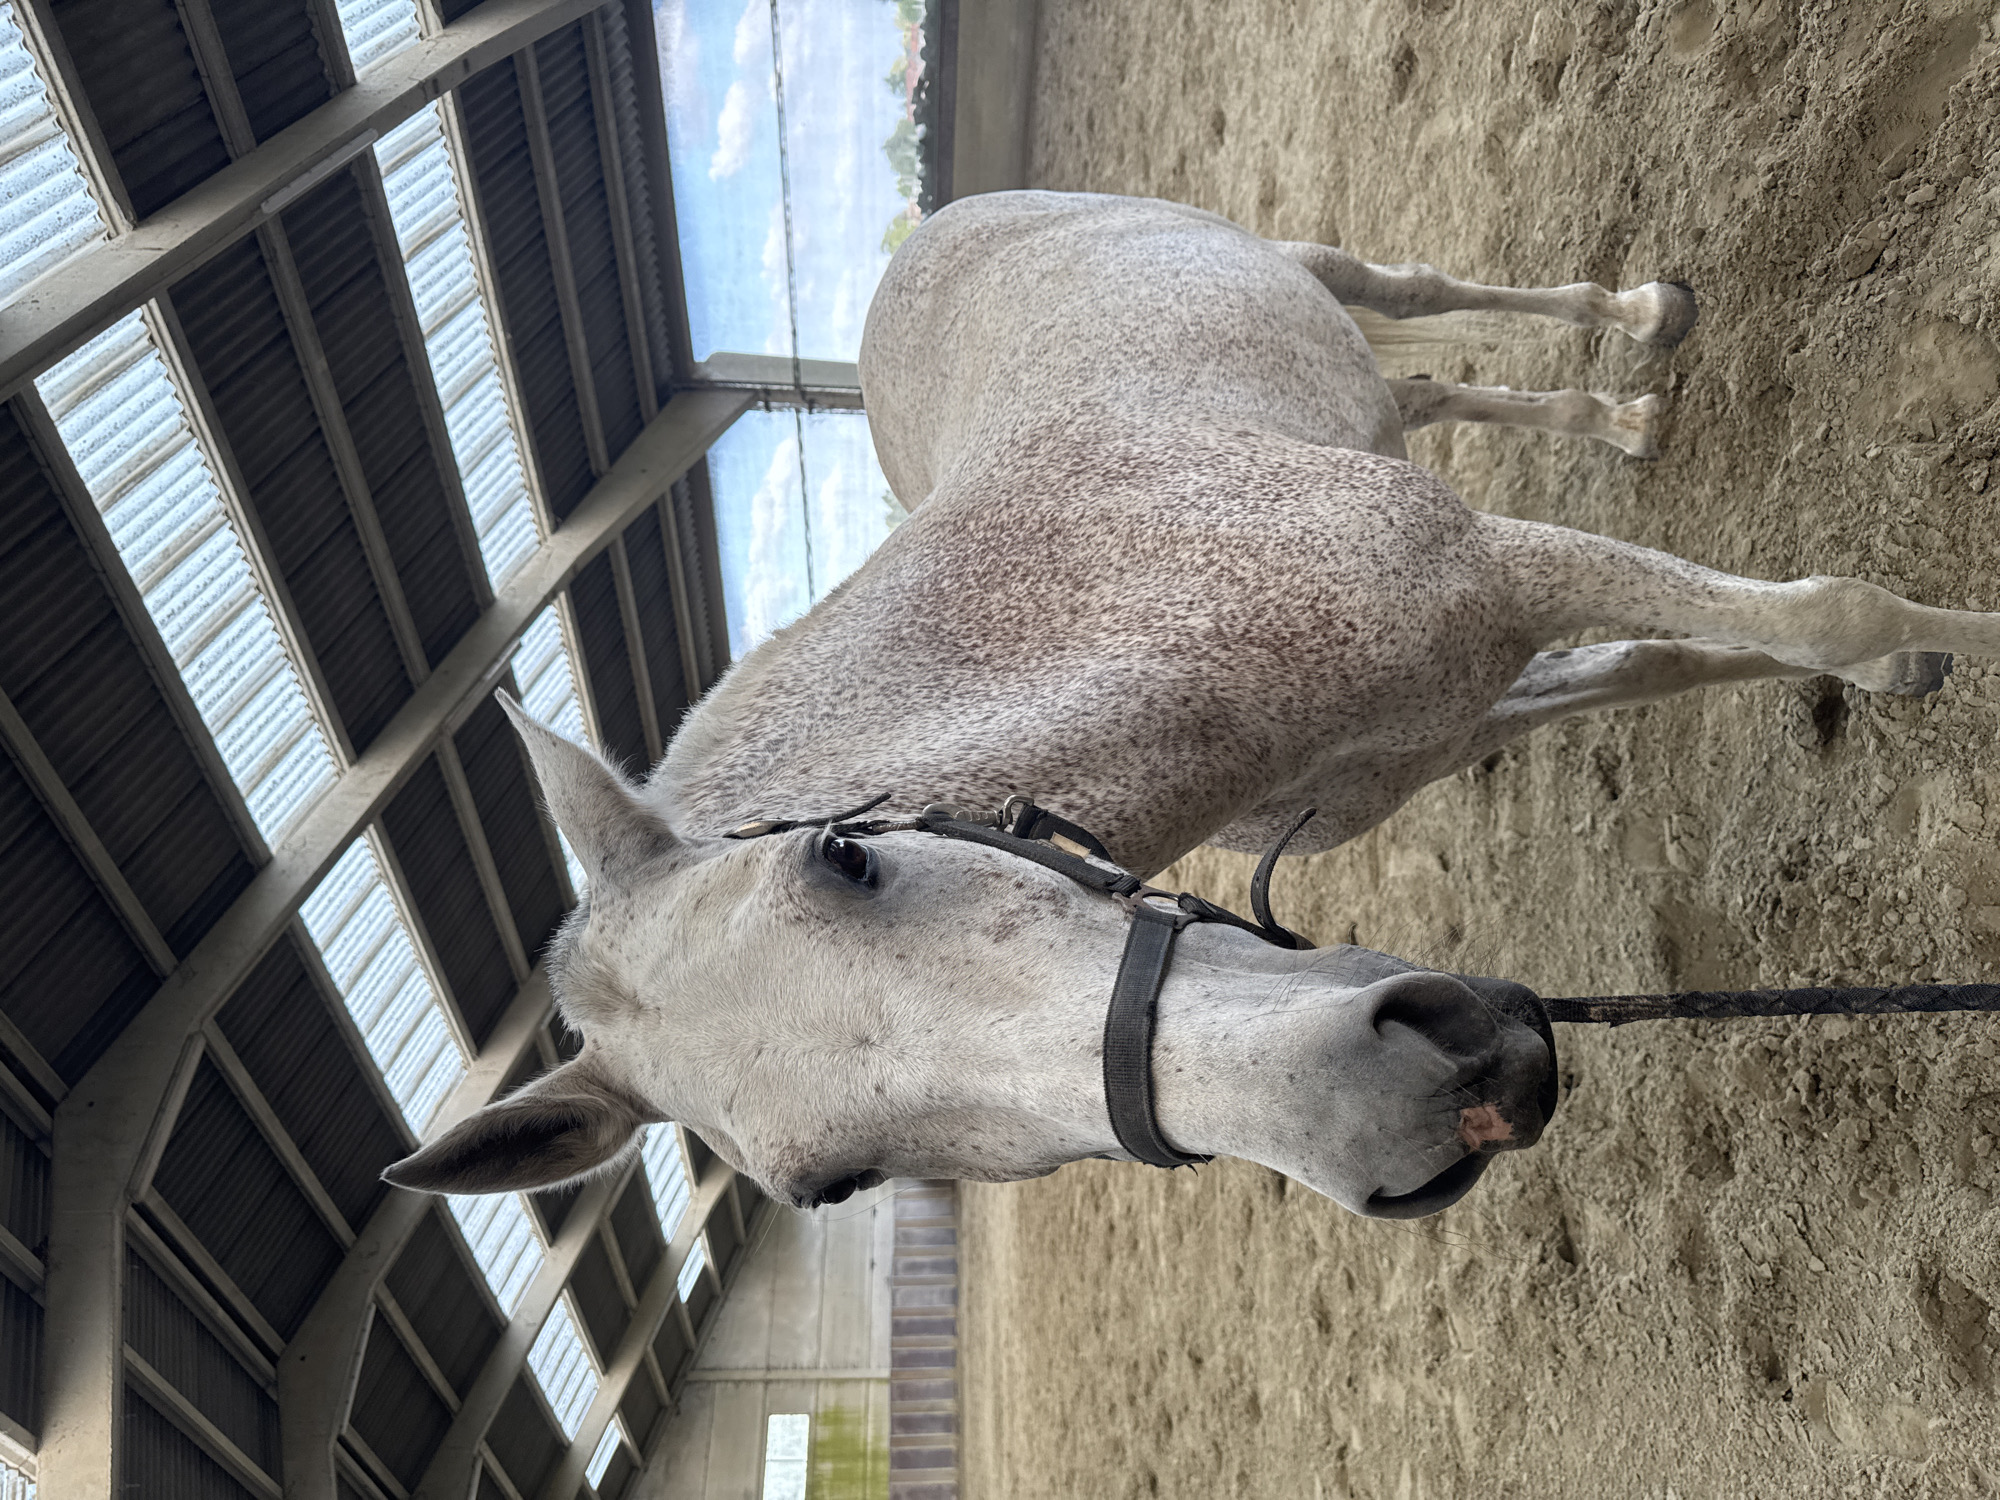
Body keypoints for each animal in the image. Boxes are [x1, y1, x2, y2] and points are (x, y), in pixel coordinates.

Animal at [383, 191, 1993, 1220]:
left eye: (846, 856)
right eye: (831, 1185)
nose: (1418, 1099)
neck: (1124, 622)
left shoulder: (1494, 567)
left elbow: (1825, 615)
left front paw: (1944, 642)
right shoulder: (1448, 720)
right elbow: (1672, 660)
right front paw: (1902, 666)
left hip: (1307, 258)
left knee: (1422, 294)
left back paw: (1647, 331)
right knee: (1440, 394)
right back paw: (1617, 413)